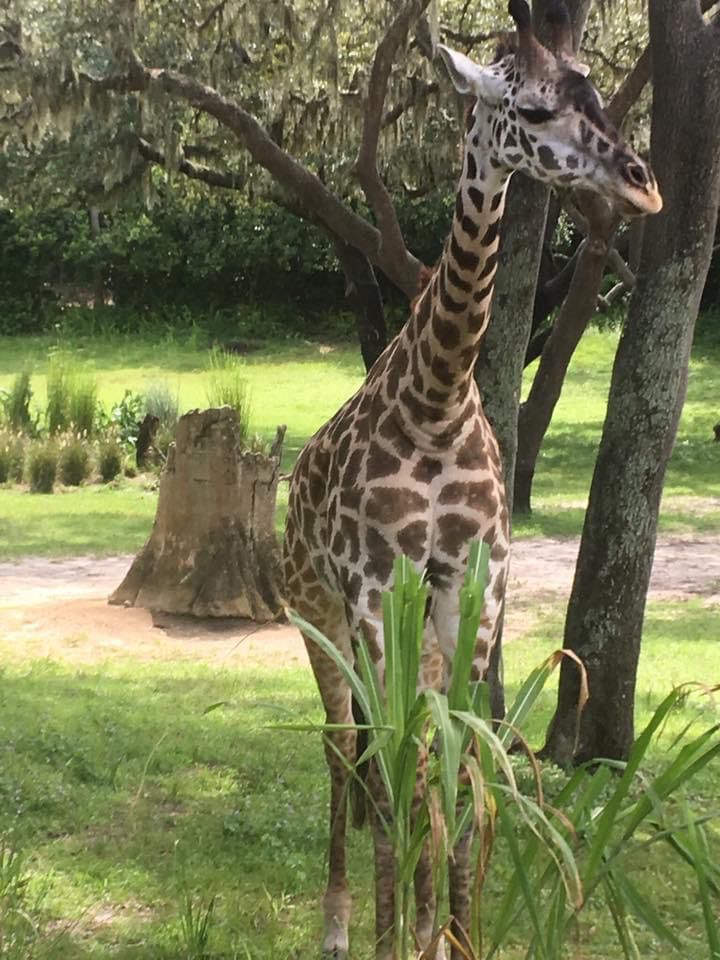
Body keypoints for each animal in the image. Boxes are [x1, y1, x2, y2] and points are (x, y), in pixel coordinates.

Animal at [280, 3, 660, 956]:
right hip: (315, 611)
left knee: (394, 754)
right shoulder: (378, 587)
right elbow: (399, 775)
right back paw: (339, 924)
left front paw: (445, 936)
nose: (643, 184)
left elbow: (458, 763)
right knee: (343, 748)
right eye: (532, 109)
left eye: (598, 90)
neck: (439, 394)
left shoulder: (476, 586)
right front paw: (395, 939)